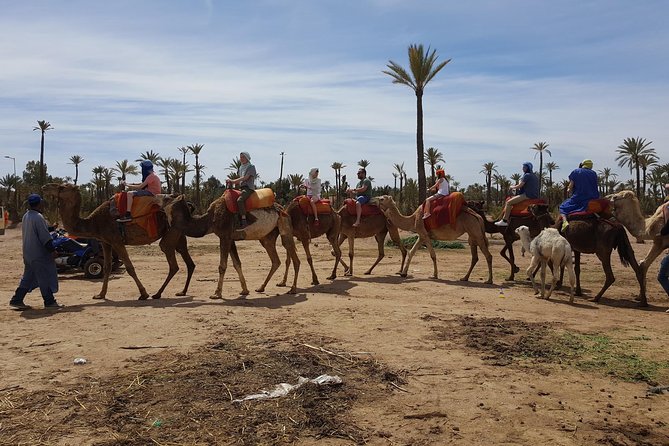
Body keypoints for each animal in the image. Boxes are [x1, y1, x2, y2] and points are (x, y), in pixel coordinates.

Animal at [41, 183, 194, 302]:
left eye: (62, 187)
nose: (45, 186)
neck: (94, 223)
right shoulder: (105, 242)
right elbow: (107, 267)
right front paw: (100, 294)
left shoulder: (116, 241)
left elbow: (130, 268)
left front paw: (143, 294)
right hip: (180, 235)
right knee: (189, 263)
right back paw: (181, 292)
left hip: (171, 233)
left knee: (173, 263)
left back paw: (157, 294)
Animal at [164, 192, 300, 296]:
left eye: (168, 197)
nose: (161, 196)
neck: (210, 219)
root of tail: (282, 209)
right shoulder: (231, 239)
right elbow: (237, 264)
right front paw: (244, 290)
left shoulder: (224, 236)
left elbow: (222, 266)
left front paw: (217, 293)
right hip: (267, 237)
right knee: (275, 260)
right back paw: (261, 287)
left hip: (284, 225)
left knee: (294, 257)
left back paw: (293, 289)